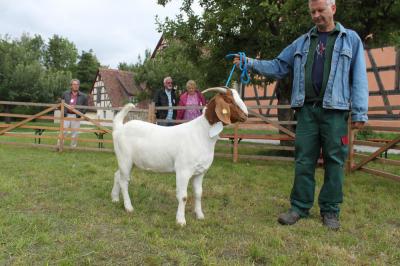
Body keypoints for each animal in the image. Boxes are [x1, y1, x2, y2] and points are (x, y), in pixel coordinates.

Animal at [110, 87, 247, 224]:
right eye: (229, 100)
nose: (245, 115)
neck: (202, 133)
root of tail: (120, 127)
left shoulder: (200, 172)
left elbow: (199, 193)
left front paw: (200, 215)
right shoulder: (183, 170)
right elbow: (183, 196)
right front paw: (181, 220)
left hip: (129, 162)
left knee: (117, 175)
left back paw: (115, 199)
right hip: (125, 159)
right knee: (124, 181)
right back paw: (128, 207)